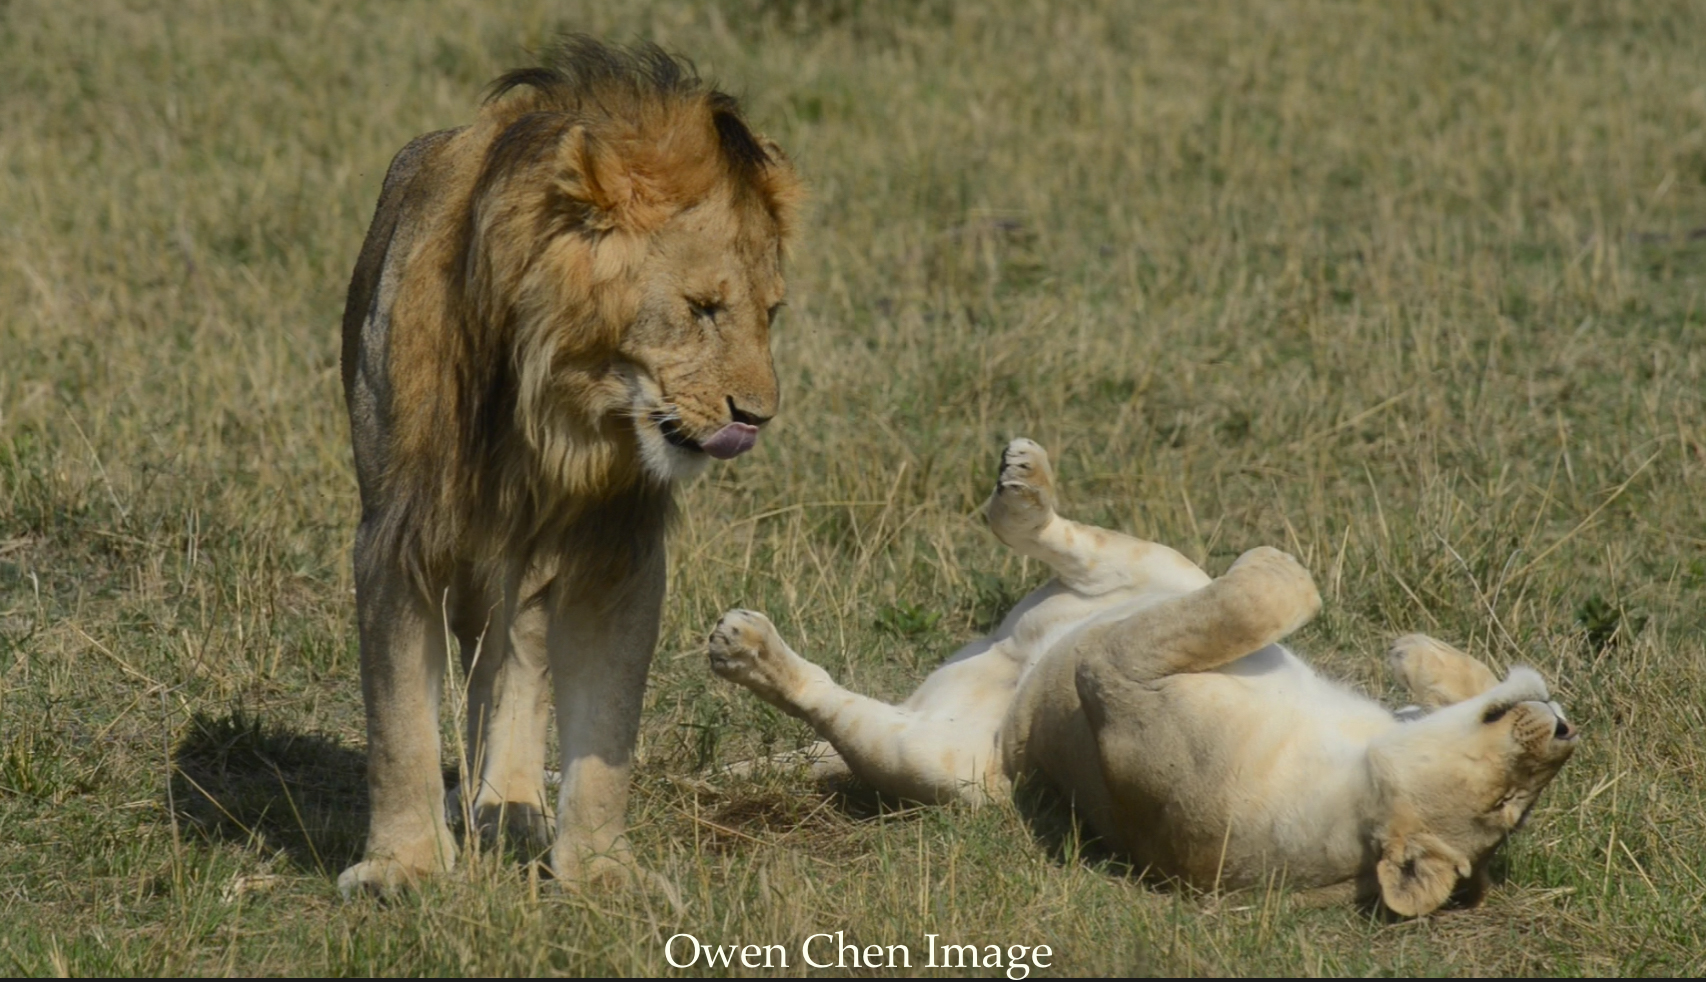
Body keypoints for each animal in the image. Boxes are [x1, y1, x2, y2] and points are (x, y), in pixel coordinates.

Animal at [341, 38, 805, 900]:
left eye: (771, 313)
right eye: (701, 308)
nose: (756, 418)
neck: (558, 408)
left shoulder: (617, 548)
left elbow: (606, 723)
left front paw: (599, 873)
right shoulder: (398, 533)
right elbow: (398, 722)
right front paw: (403, 866)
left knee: (518, 658)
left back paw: (511, 803)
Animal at [702, 439, 1569, 913]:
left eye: (1508, 806)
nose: (1563, 735)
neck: (1358, 765)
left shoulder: (1112, 678)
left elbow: (1277, 588)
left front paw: (1279, 566)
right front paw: (1419, 654)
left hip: (955, 769)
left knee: (837, 709)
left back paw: (745, 648)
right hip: (1149, 568)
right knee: (1068, 541)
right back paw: (1024, 479)